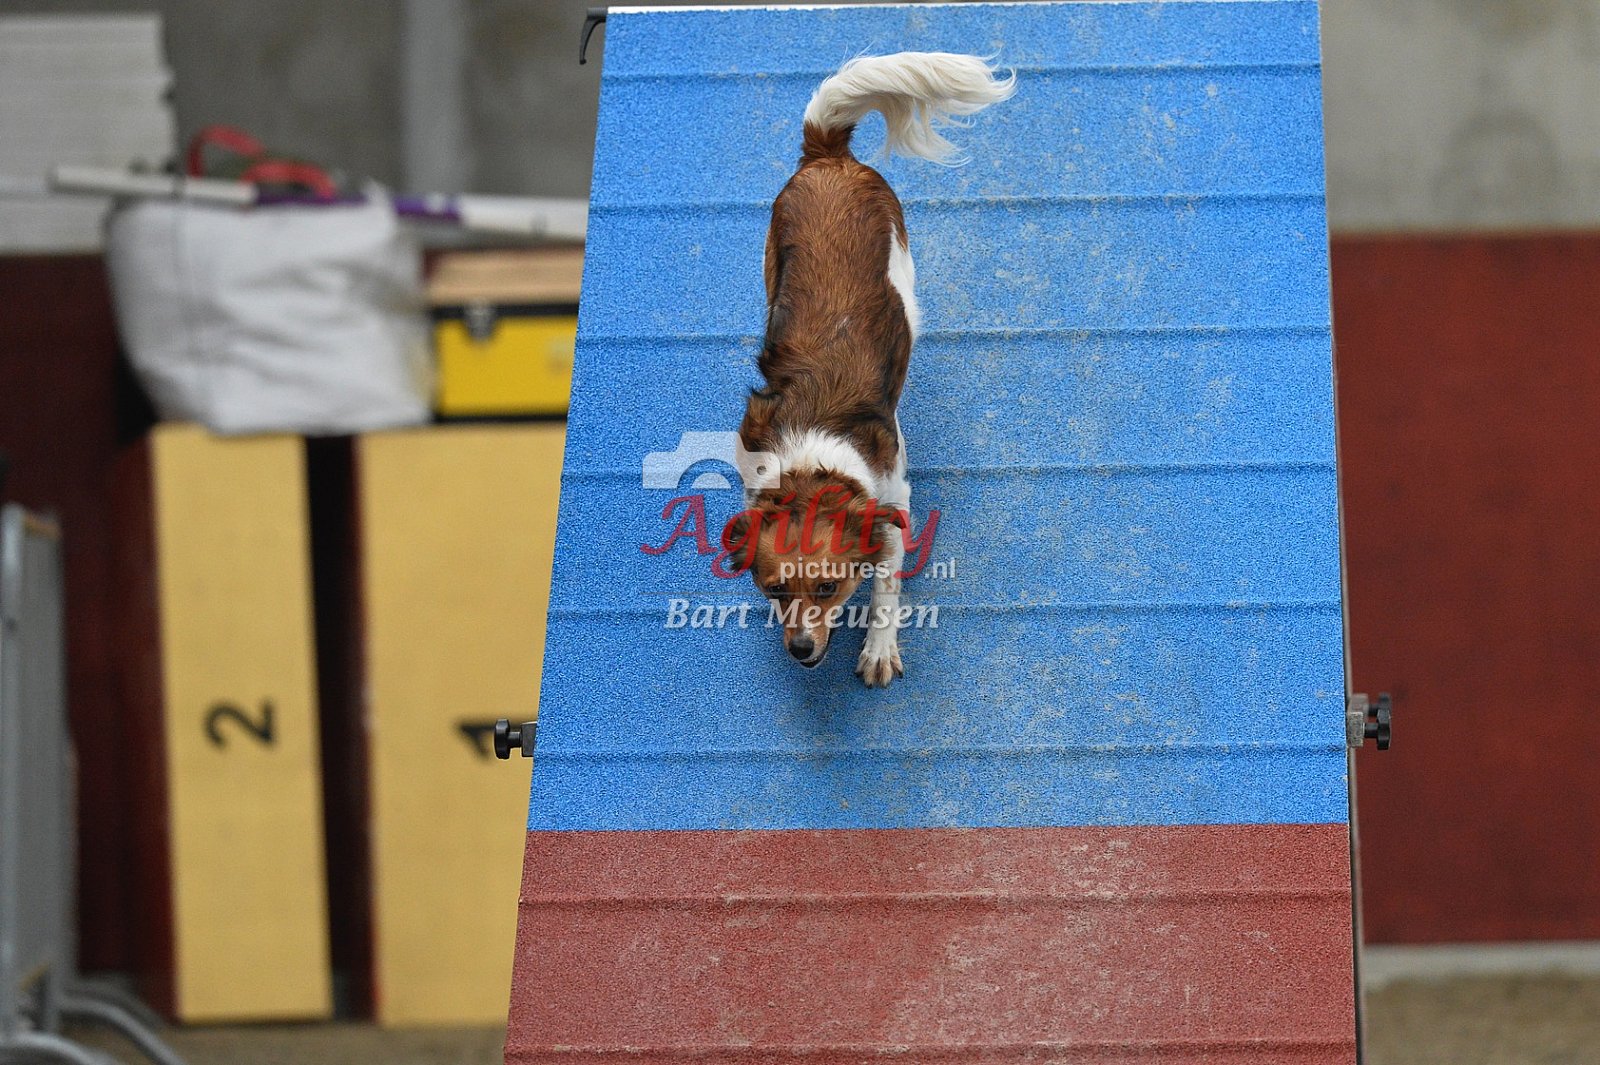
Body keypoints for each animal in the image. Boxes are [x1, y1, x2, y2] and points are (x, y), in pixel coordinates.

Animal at [722, 52, 1015, 687]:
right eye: (774, 591)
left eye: (828, 588)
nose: (800, 650)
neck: (811, 460)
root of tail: (828, 157)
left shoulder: (894, 499)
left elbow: (885, 582)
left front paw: (879, 648)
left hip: (901, 260)